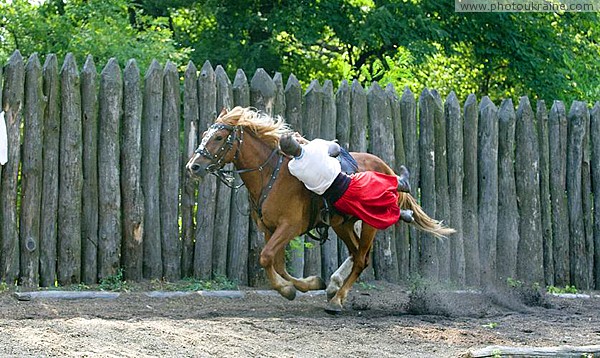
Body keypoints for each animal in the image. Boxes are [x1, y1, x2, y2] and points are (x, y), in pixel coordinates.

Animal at [188, 106, 454, 314]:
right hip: (343, 223)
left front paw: (290, 289)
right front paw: (307, 285)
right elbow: (275, 262)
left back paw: (337, 298)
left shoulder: (289, 227)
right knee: (356, 254)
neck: (271, 173)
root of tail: (386, 168)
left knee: (362, 259)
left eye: (219, 137)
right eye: (204, 135)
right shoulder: (269, 229)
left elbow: (266, 257)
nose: (194, 166)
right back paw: (334, 287)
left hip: (368, 223)